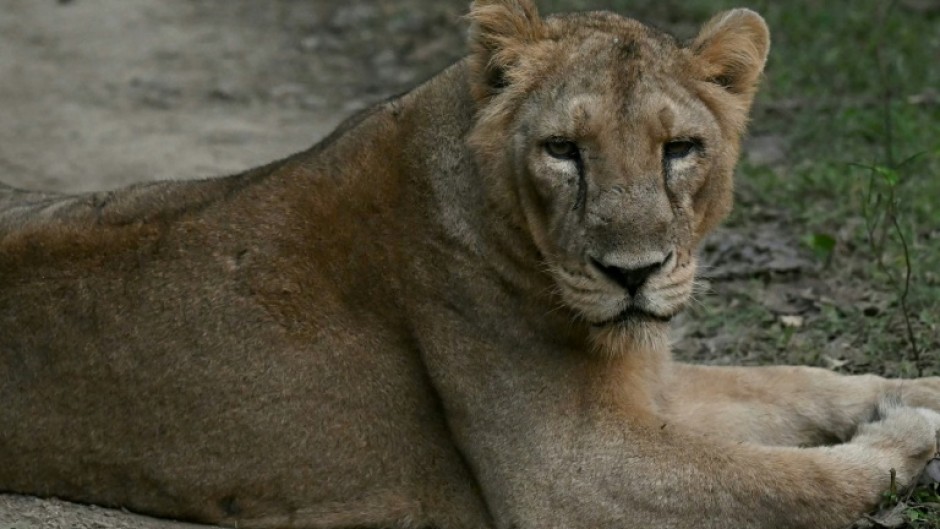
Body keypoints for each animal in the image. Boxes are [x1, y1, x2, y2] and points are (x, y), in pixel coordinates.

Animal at [2, 1, 940, 528]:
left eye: (680, 149)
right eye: (563, 149)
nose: (632, 272)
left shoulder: (647, 384)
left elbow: (796, 380)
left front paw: (916, 392)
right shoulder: (568, 471)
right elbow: (787, 482)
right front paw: (908, 441)